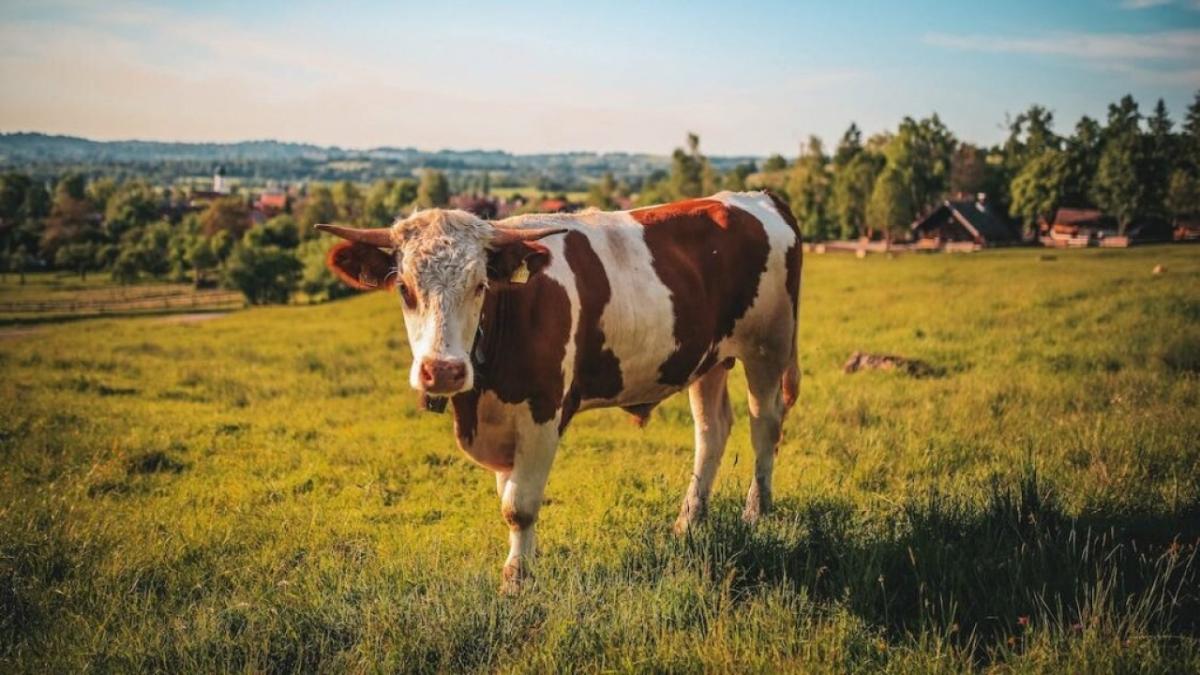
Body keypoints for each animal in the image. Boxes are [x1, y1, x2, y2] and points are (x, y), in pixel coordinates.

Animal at [321, 190, 806, 588]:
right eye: (404, 289)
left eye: (480, 285)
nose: (443, 371)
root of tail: (757, 197)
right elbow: (508, 495)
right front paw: (521, 565)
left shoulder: (543, 411)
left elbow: (519, 506)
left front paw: (517, 580)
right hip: (708, 359)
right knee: (712, 431)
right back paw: (688, 522)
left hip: (769, 345)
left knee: (764, 426)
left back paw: (756, 512)